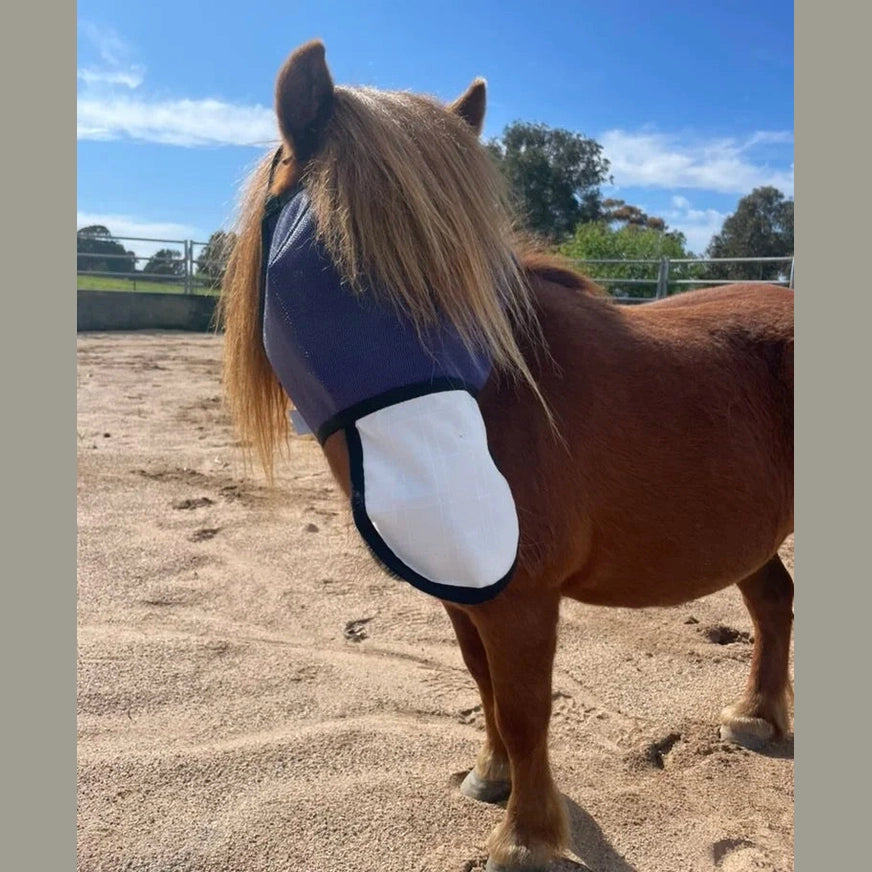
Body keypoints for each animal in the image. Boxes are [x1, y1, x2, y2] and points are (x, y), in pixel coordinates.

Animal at [219, 41, 794, 872]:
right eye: (333, 275)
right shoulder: (464, 594)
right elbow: (482, 683)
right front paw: (489, 778)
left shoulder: (520, 599)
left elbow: (524, 709)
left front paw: (525, 838)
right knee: (773, 602)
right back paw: (757, 717)